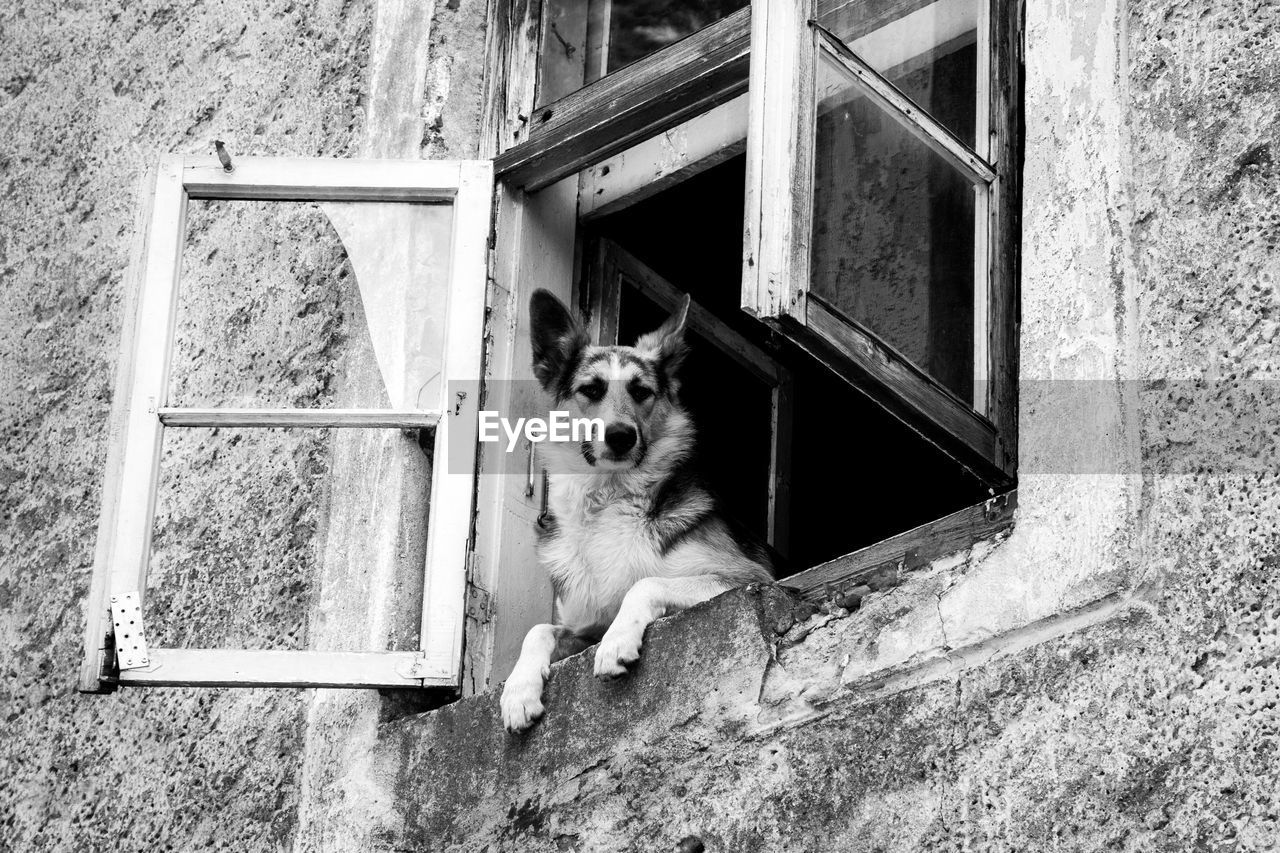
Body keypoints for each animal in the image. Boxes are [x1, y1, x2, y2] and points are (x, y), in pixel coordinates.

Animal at [499, 285, 768, 732]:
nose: (621, 436)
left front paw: (616, 643)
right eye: (591, 390)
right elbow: (539, 629)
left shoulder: (748, 578)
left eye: (641, 391)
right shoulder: (584, 625)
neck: (609, 497)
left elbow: (645, 584)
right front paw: (518, 690)